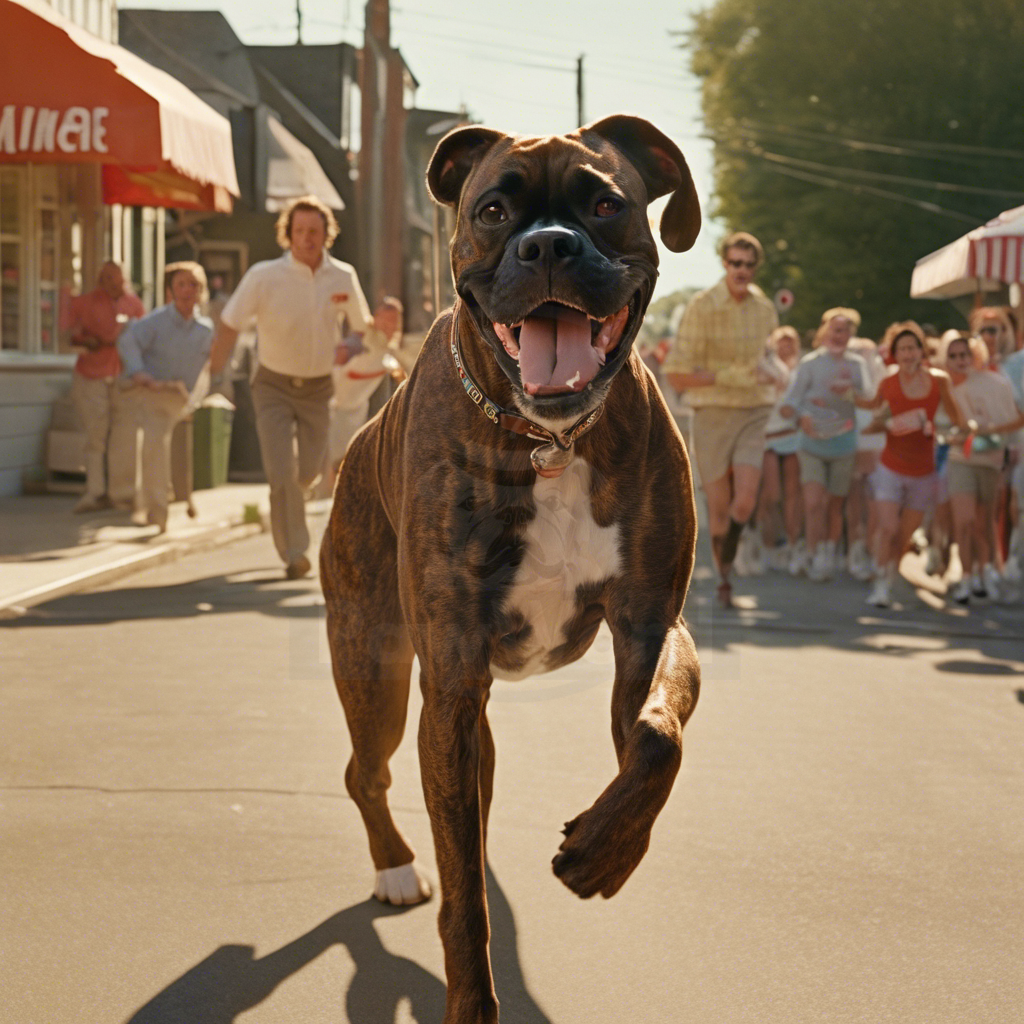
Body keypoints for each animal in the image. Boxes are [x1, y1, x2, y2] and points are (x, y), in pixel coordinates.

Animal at [319, 116, 704, 1019]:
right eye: (493, 210)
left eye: (606, 203)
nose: (549, 245)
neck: (548, 440)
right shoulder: (452, 678)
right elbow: (464, 901)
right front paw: (469, 995)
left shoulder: (649, 627)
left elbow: (653, 738)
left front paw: (606, 850)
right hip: (377, 673)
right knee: (367, 772)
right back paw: (396, 866)